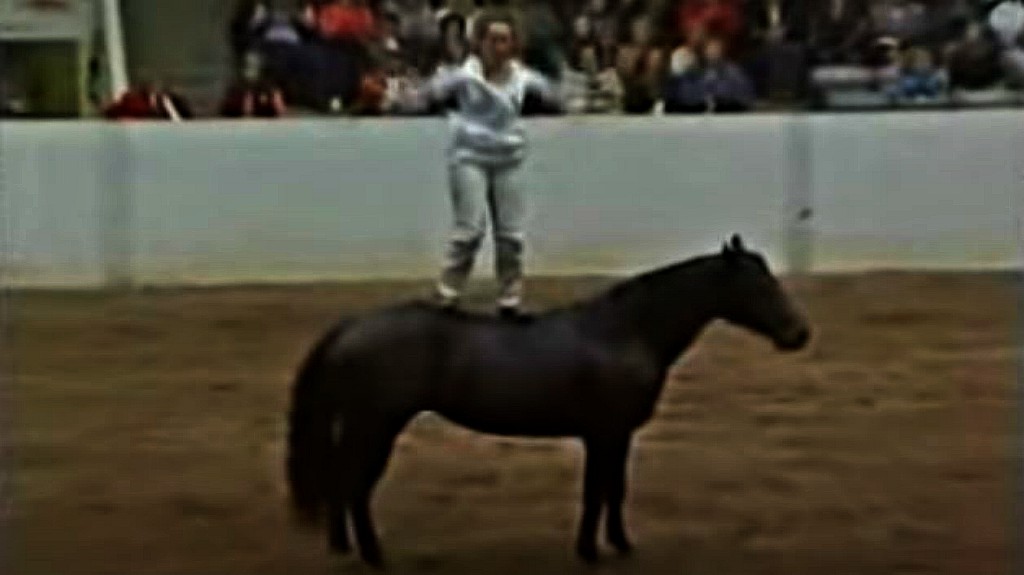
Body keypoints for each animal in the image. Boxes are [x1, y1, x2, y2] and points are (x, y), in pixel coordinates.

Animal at [285, 234, 811, 567]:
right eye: (756, 285)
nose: (798, 335)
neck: (623, 332)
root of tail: (351, 327)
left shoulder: (617, 436)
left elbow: (614, 490)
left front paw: (620, 545)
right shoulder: (603, 434)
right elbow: (596, 492)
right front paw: (590, 552)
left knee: (341, 484)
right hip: (376, 426)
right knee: (355, 486)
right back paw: (375, 557)